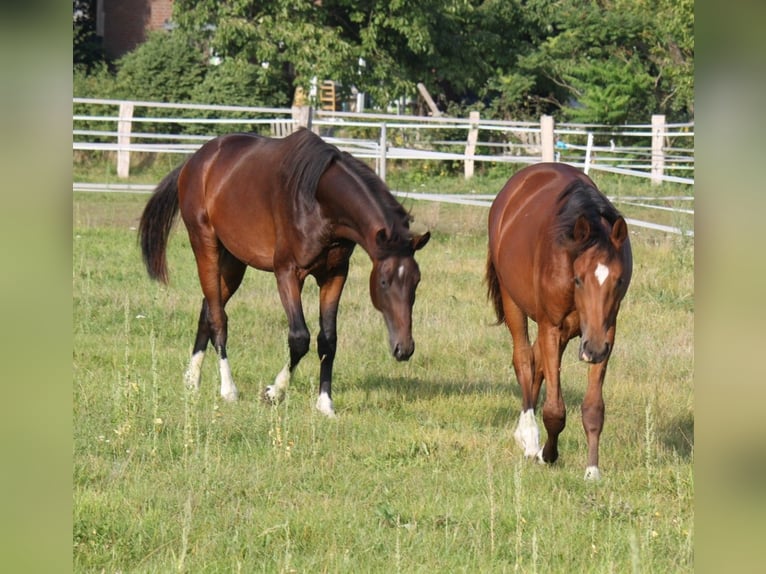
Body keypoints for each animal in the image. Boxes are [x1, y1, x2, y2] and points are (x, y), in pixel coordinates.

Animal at [139, 129, 432, 418]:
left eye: (416, 281)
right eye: (383, 281)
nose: (404, 348)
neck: (319, 202)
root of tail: (196, 160)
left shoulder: (335, 274)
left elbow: (328, 340)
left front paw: (325, 404)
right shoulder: (288, 273)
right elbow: (300, 338)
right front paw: (273, 392)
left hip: (234, 261)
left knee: (208, 309)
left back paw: (192, 378)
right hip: (205, 245)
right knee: (217, 319)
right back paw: (228, 389)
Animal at [488, 164, 632, 484]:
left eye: (618, 280)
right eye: (579, 279)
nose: (593, 349)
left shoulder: (605, 333)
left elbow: (593, 409)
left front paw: (592, 470)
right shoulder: (552, 327)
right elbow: (554, 409)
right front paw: (548, 454)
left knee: (538, 362)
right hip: (514, 302)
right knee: (524, 360)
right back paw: (530, 438)